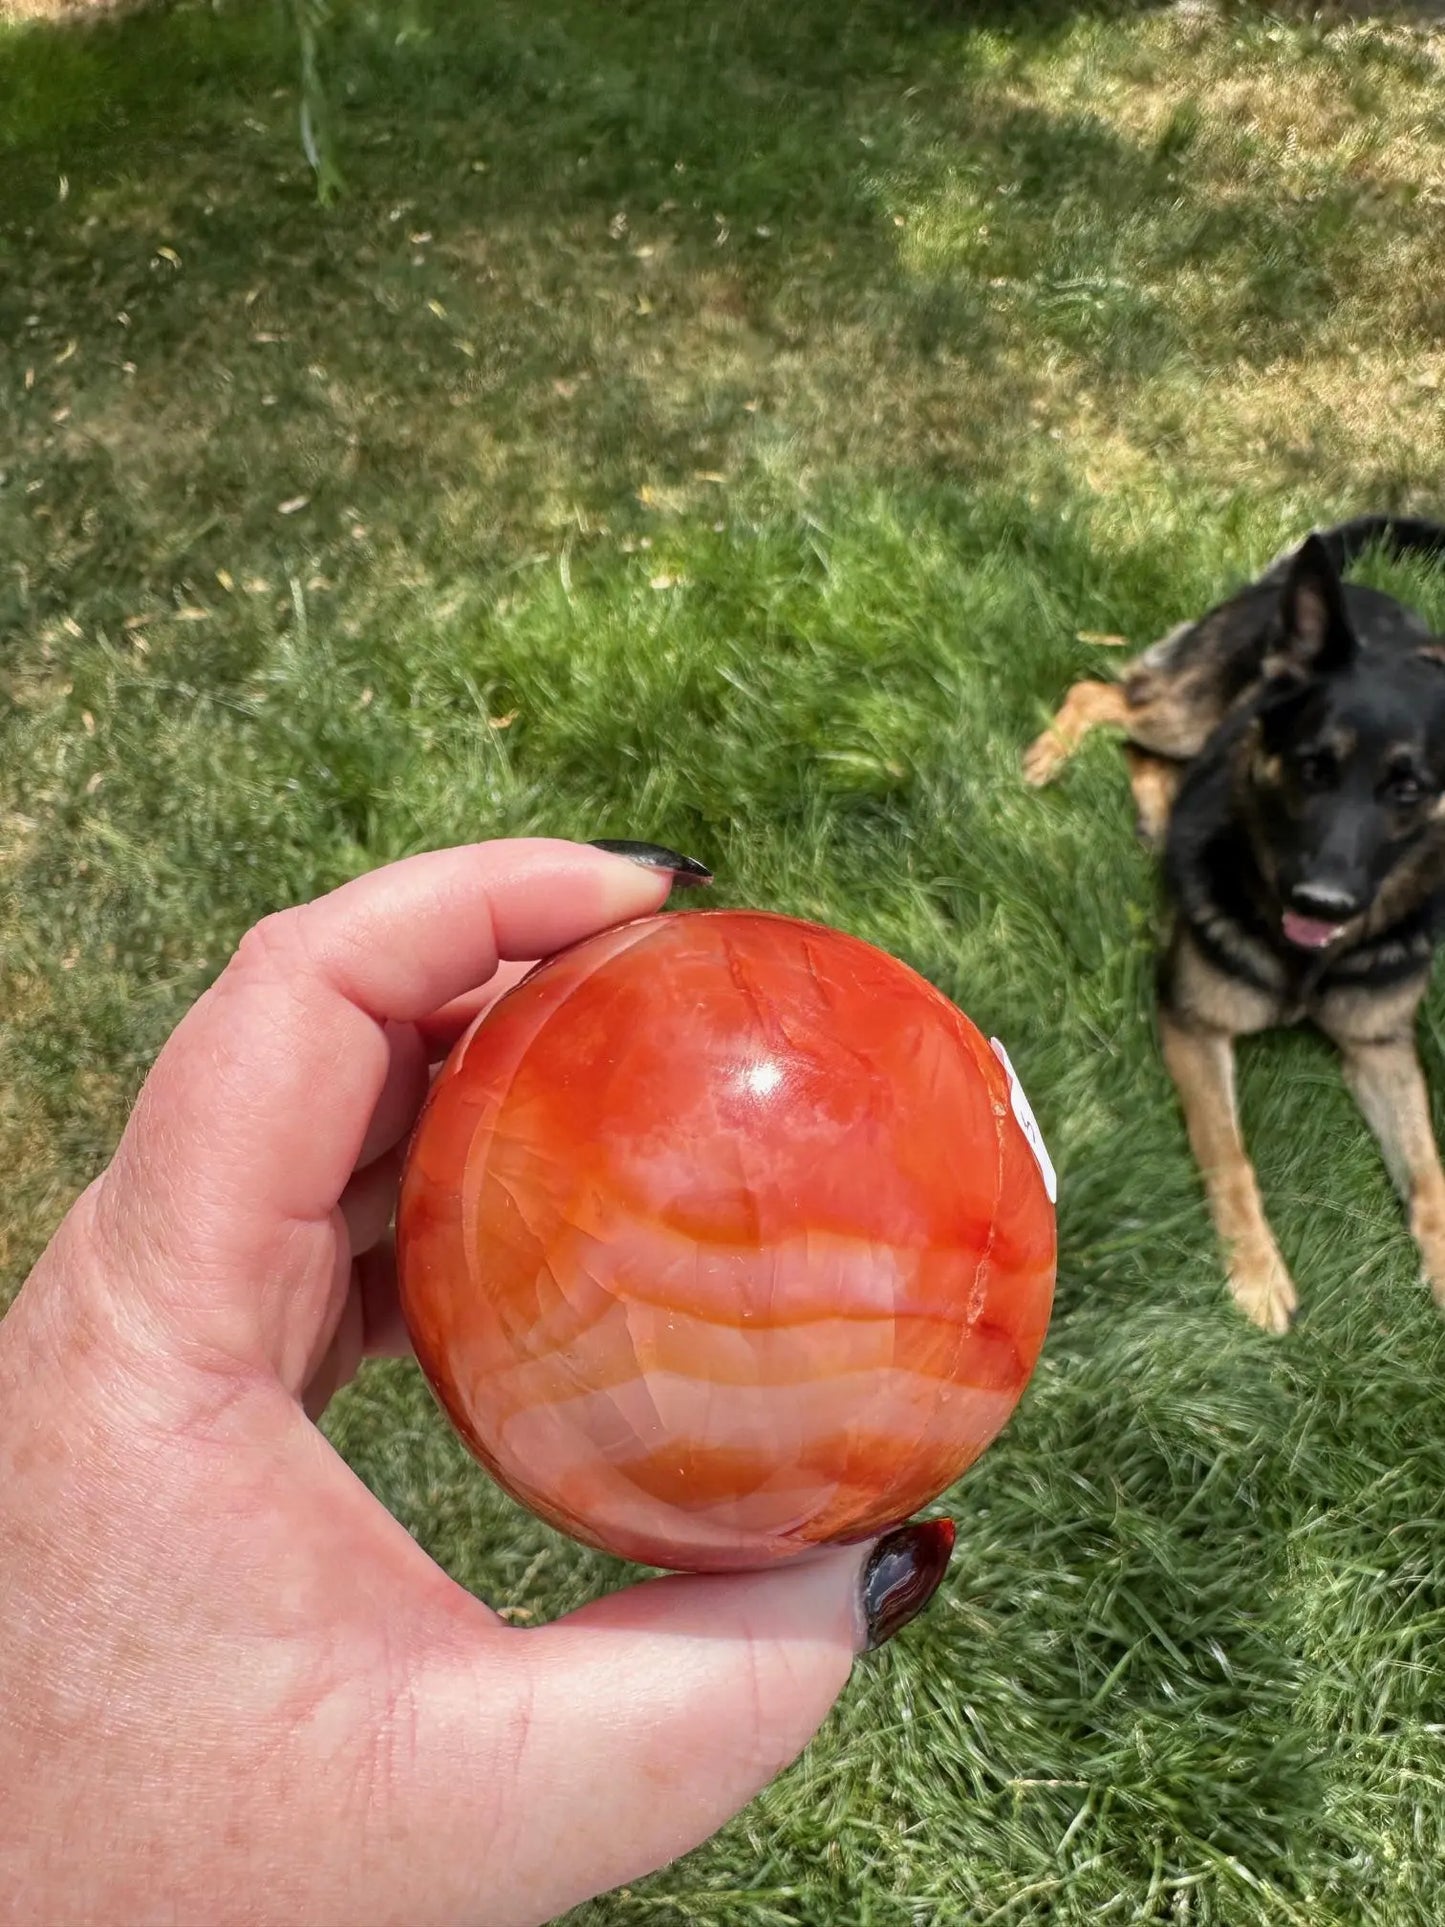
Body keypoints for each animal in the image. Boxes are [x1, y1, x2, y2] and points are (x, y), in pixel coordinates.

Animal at [1032, 520, 1445, 1333]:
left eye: (1408, 789)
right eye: (1313, 768)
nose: (1321, 903)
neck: (1310, 964)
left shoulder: (1380, 1049)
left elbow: (1429, 1175)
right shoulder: (1195, 1024)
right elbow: (1229, 1156)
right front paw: (1256, 1272)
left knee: (1144, 752)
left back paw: (1159, 817)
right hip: (1188, 713)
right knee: (1102, 696)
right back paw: (1049, 755)